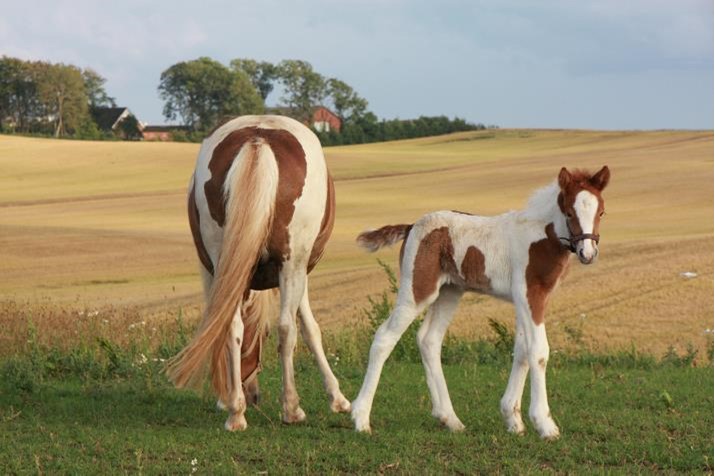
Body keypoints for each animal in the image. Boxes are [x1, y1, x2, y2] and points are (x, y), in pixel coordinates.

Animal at [171, 115, 356, 432]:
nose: (253, 395)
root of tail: (259, 137)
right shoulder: (299, 271)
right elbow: (309, 329)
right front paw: (338, 398)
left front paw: (227, 399)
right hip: (292, 265)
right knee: (287, 328)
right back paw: (291, 408)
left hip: (223, 261)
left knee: (231, 326)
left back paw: (236, 414)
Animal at [352, 166, 608, 438]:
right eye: (569, 212)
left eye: (601, 211)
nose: (587, 253)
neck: (541, 238)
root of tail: (411, 227)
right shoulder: (530, 295)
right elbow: (538, 352)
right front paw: (545, 425)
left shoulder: (526, 300)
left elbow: (522, 351)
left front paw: (513, 419)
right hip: (418, 290)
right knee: (384, 337)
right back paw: (360, 418)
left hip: (449, 292)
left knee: (429, 340)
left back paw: (450, 419)